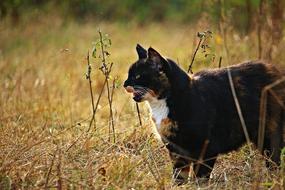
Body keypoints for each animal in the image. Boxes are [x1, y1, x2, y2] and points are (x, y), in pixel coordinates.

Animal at [123, 44, 282, 184]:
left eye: (137, 76)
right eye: (129, 74)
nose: (124, 84)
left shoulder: (207, 147)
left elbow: (201, 175)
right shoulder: (176, 150)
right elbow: (179, 174)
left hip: (269, 135)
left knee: (275, 160)